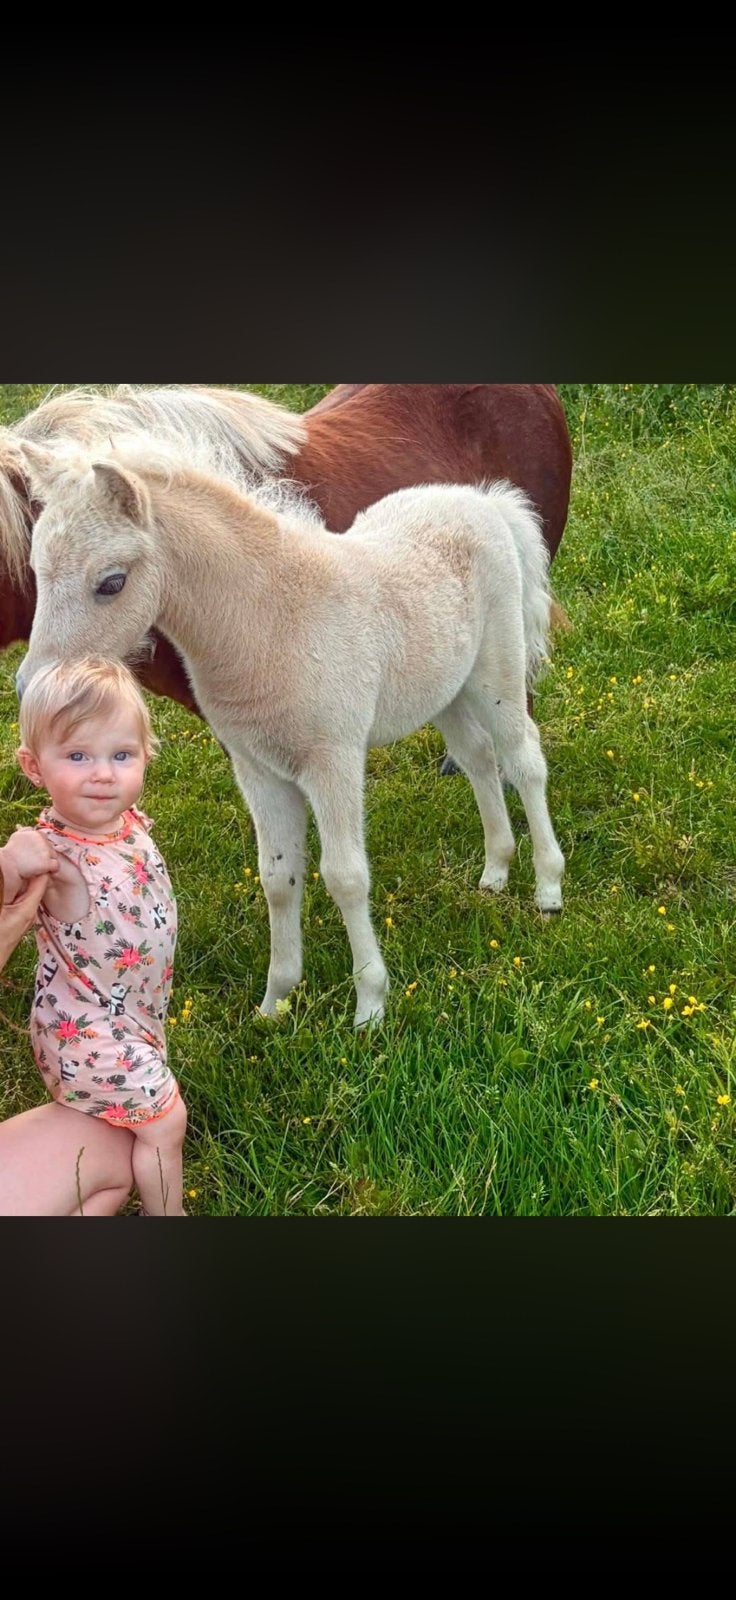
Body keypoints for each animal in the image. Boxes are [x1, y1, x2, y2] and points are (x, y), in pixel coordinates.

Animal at [14, 436, 565, 1028]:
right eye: (37, 572)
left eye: (111, 582)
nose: (31, 687)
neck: (272, 622)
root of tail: (483, 501)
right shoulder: (257, 769)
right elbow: (278, 879)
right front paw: (275, 1002)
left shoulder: (333, 761)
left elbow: (346, 876)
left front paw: (370, 1007)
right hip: (447, 688)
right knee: (477, 756)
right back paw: (495, 870)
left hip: (495, 672)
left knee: (523, 758)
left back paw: (548, 887)